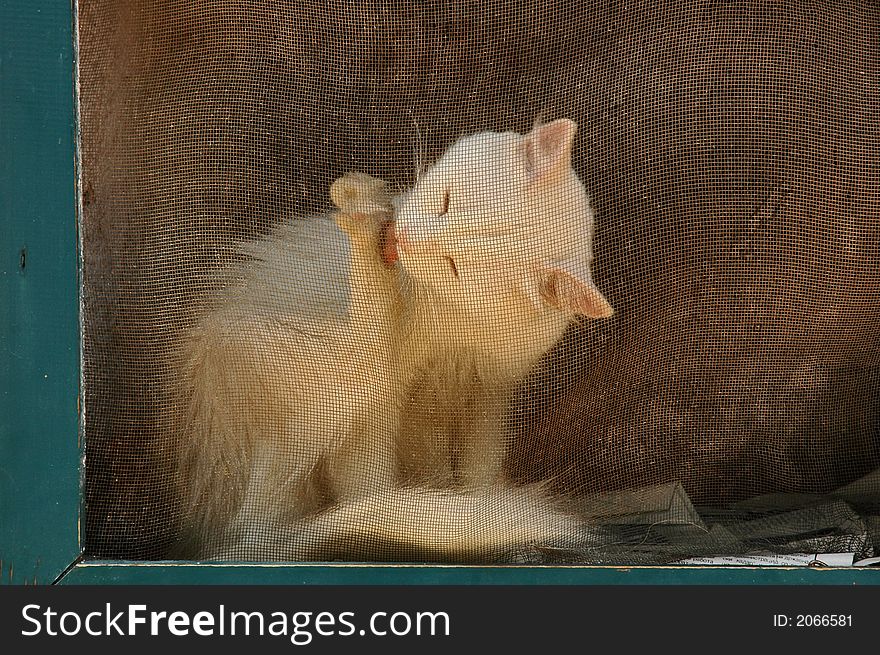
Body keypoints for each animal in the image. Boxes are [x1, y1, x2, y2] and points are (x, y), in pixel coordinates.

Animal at [172, 118, 612, 560]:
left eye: (453, 264)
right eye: (446, 202)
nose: (404, 237)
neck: (461, 327)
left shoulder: (487, 392)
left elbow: (477, 468)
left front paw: (479, 502)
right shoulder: (416, 391)